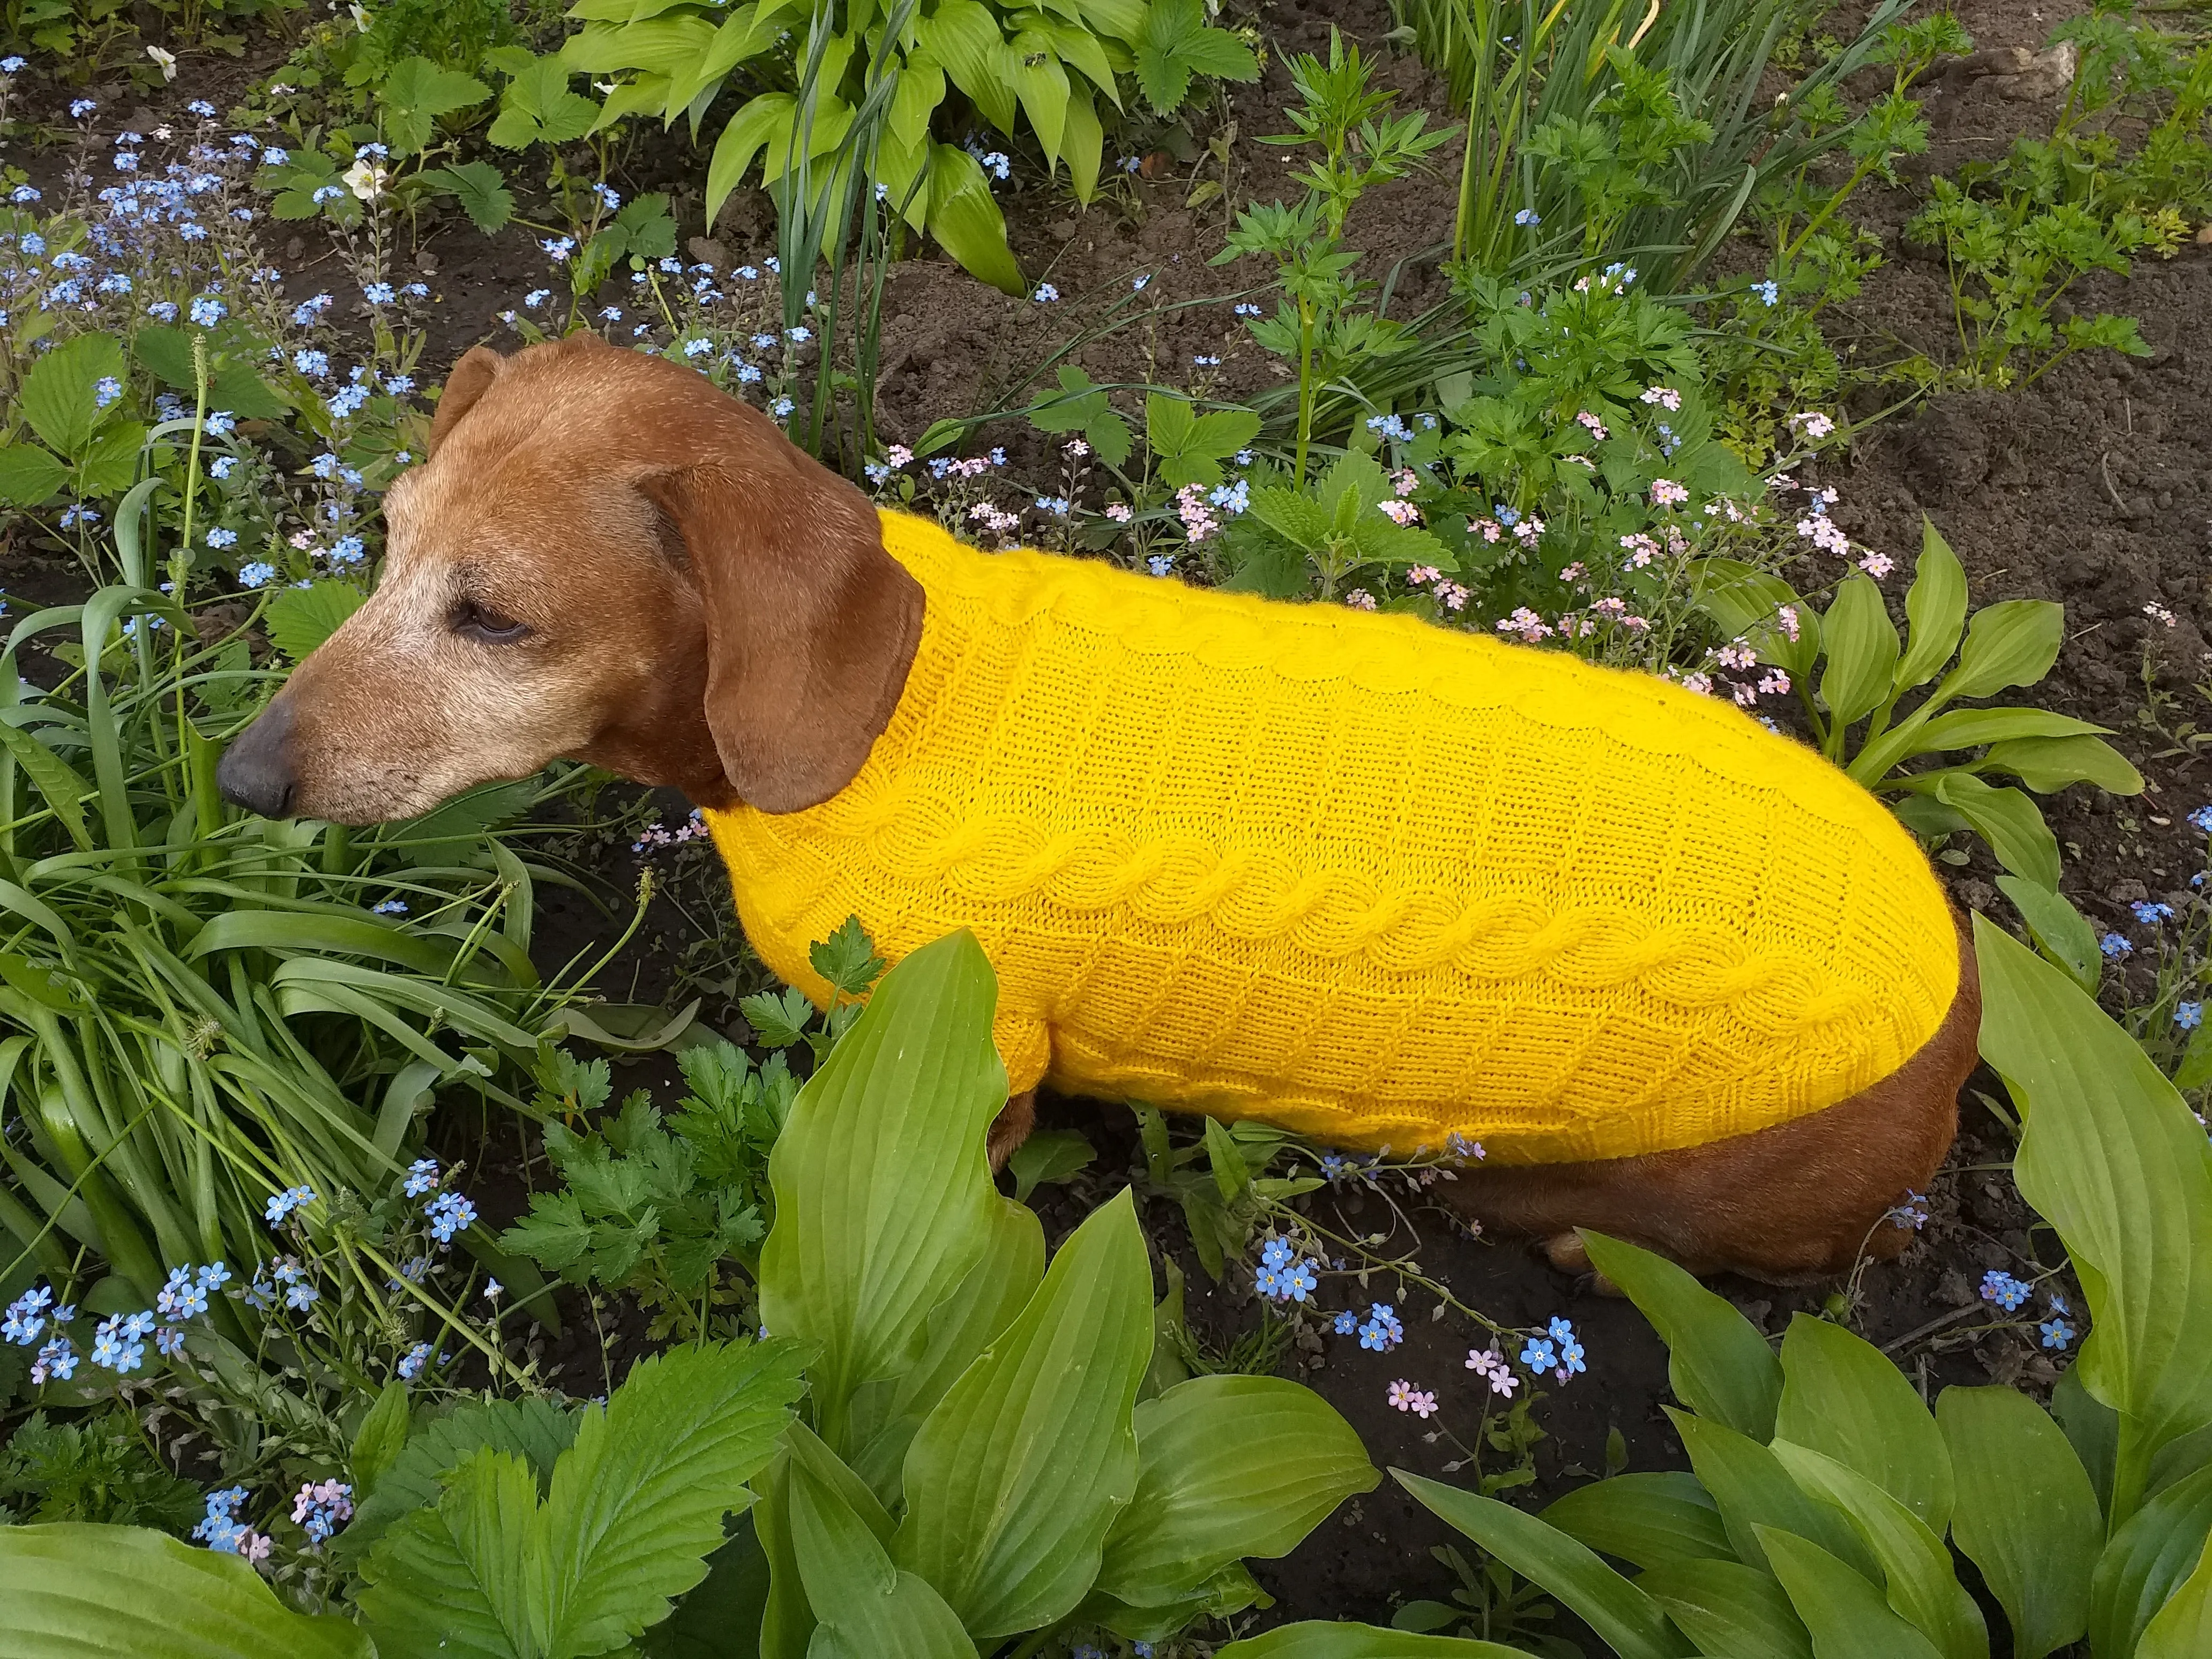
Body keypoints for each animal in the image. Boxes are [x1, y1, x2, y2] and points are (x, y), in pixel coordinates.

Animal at [220, 340, 1973, 1283]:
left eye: (495, 618)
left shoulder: (975, 1057)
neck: (890, 708)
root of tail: (1957, 1022)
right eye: (382, 542)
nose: (240, 781)